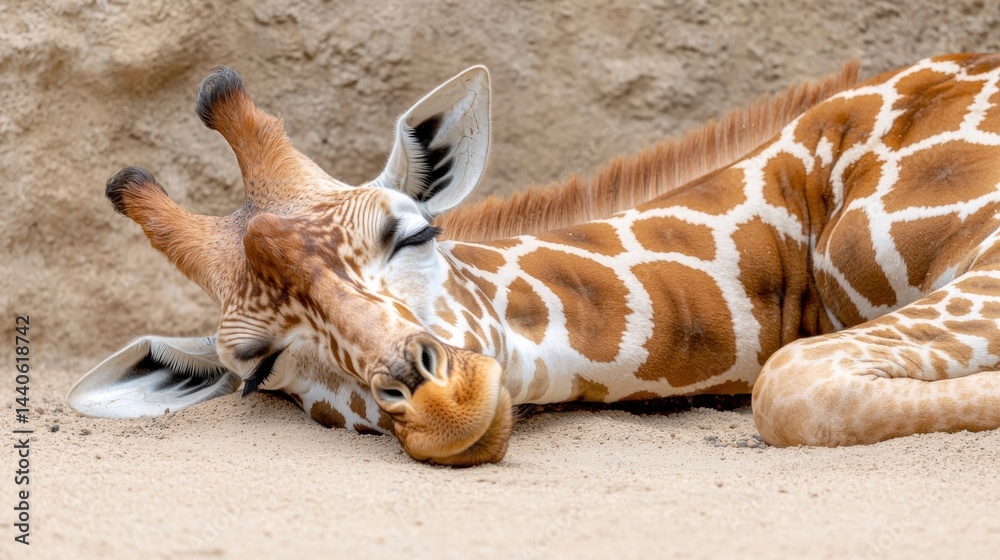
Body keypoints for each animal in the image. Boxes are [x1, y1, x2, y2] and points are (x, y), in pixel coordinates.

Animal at [69, 53, 1000, 466]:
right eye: (259, 368)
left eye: (413, 232)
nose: (444, 403)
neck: (799, 200)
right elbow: (794, 382)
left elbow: (791, 381)